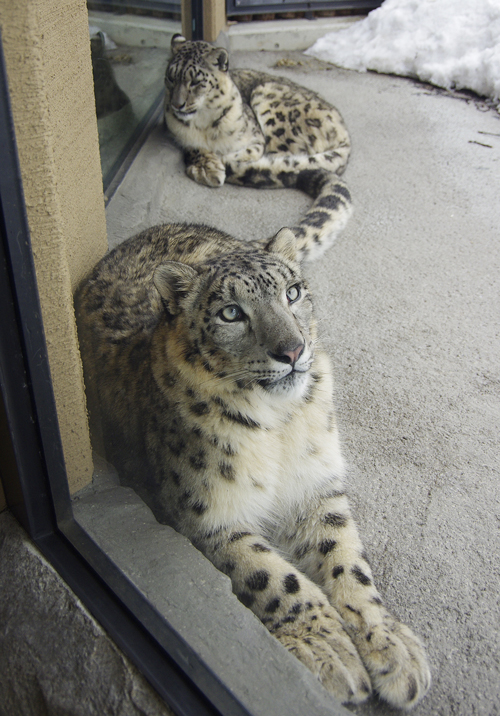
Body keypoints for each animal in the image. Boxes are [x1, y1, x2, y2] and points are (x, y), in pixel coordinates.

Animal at [75, 222, 430, 712]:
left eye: (293, 292)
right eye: (230, 313)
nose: (293, 350)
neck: (279, 427)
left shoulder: (317, 486)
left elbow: (347, 559)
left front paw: (392, 647)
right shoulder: (210, 515)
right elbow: (274, 577)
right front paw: (330, 651)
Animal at [164, 35, 352, 262]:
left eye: (196, 82)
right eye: (170, 77)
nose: (177, 104)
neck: (203, 126)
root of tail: (343, 129)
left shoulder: (255, 138)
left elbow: (246, 152)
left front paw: (219, 165)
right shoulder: (177, 133)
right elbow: (194, 148)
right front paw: (207, 167)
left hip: (268, 98)